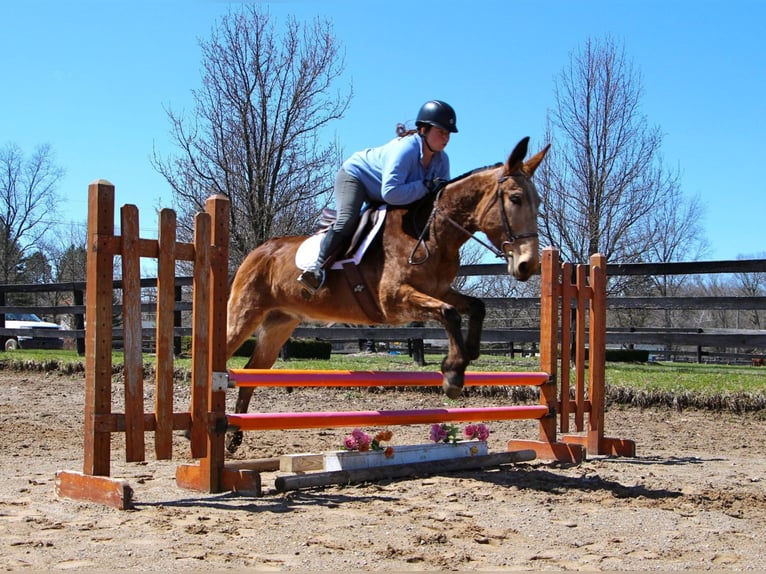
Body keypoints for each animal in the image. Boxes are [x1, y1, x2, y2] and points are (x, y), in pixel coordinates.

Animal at [225, 137, 548, 452]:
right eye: (516, 199)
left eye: (539, 201)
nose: (528, 265)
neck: (430, 232)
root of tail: (259, 250)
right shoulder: (393, 301)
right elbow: (449, 313)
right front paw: (453, 374)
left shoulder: (439, 290)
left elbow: (476, 307)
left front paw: (470, 353)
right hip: (244, 316)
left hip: (279, 323)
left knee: (251, 370)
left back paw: (234, 436)